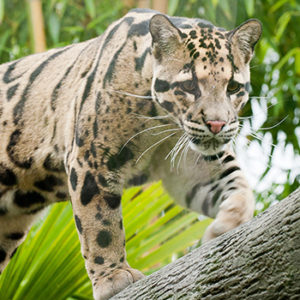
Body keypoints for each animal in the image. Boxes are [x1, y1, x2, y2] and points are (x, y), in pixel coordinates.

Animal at [0, 8, 262, 298]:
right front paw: (113, 278)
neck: (161, 122)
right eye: (189, 86)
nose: (217, 124)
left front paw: (226, 226)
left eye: (233, 87)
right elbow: (101, 224)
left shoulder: (192, 169)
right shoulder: (91, 157)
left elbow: (239, 186)